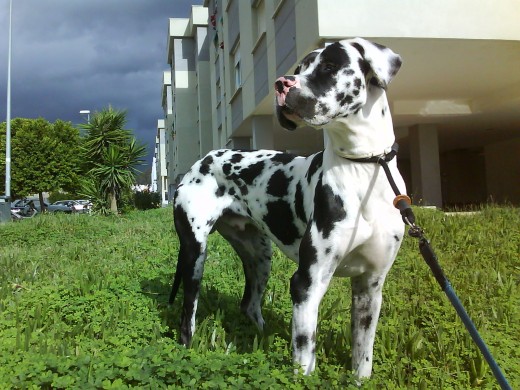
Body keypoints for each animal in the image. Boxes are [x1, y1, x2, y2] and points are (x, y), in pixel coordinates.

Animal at [171, 38, 406, 380]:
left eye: (330, 66)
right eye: (299, 67)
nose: (281, 84)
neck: (364, 167)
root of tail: (202, 160)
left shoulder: (370, 287)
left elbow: (362, 357)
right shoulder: (307, 283)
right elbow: (304, 354)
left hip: (259, 255)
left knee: (249, 305)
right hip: (194, 256)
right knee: (188, 314)